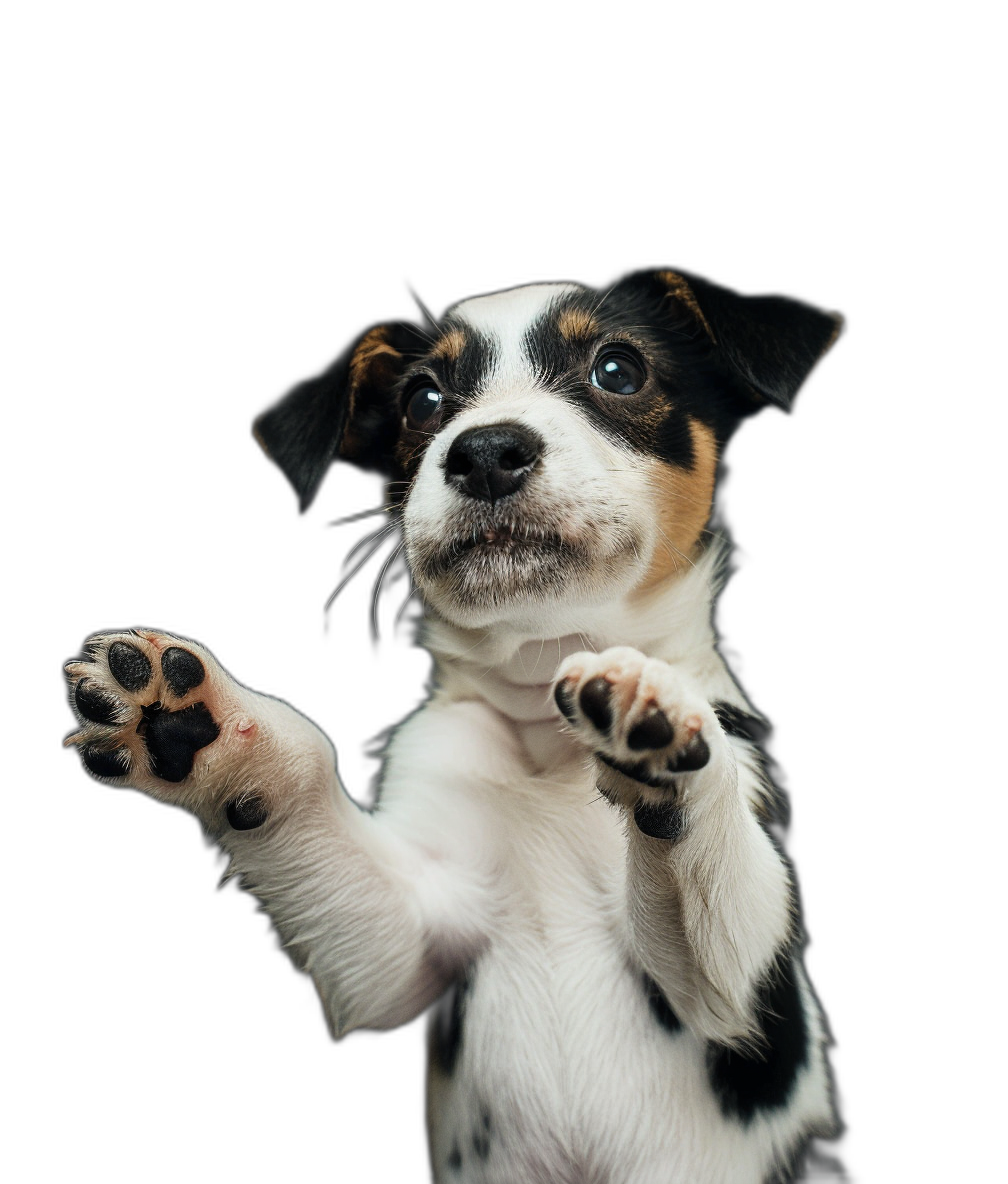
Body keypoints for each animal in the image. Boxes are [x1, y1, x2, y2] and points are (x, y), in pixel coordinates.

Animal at [63, 264, 848, 1179]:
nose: (485, 450)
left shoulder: (740, 996)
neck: (543, 730)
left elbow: (706, 838)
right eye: (422, 400)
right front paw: (205, 728)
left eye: (619, 370)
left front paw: (659, 715)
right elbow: (306, 769)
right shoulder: (406, 947)